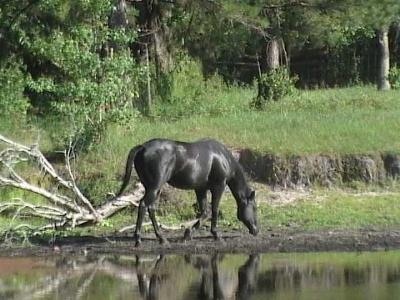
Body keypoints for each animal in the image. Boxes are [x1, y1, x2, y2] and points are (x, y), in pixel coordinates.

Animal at [117, 138, 258, 246]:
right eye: (255, 208)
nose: (256, 230)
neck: (222, 158)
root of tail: (143, 147)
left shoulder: (200, 189)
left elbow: (205, 212)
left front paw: (187, 234)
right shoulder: (219, 186)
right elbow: (214, 210)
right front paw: (216, 234)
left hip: (152, 188)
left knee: (150, 208)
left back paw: (162, 238)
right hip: (154, 187)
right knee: (143, 205)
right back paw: (138, 239)